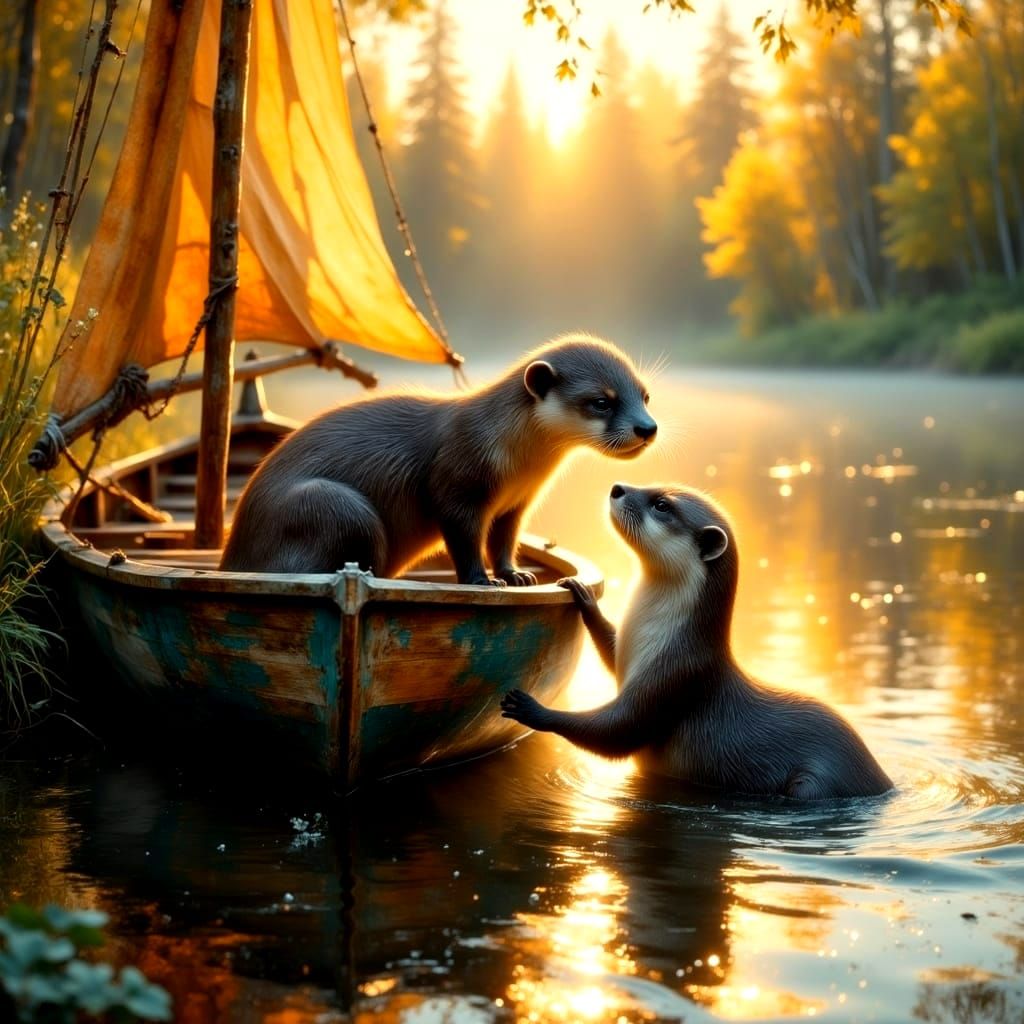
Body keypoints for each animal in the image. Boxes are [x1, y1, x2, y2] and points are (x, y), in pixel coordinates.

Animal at [220, 335, 657, 584]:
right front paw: (483, 582)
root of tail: (233, 557)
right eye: (601, 401)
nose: (647, 428)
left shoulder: (515, 504)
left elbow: (503, 541)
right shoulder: (457, 482)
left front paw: (515, 575)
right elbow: (464, 540)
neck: (516, 460)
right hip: (333, 503)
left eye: (645, 394)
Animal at [500, 483, 893, 800]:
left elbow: (619, 730)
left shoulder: (676, 675)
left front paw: (533, 709)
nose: (617, 488)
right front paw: (583, 595)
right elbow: (611, 652)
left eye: (662, 504)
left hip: (815, 783)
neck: (652, 635)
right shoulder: (629, 654)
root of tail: (882, 781)